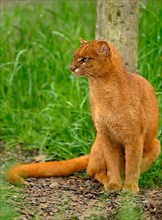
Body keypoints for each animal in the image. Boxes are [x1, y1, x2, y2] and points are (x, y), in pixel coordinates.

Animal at [5, 39, 160, 192]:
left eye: (85, 59)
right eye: (74, 57)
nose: (71, 67)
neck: (102, 92)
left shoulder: (134, 137)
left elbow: (132, 166)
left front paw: (130, 188)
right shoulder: (105, 135)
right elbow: (112, 164)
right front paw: (114, 184)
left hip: (155, 145)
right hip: (99, 144)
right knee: (93, 171)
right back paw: (109, 182)